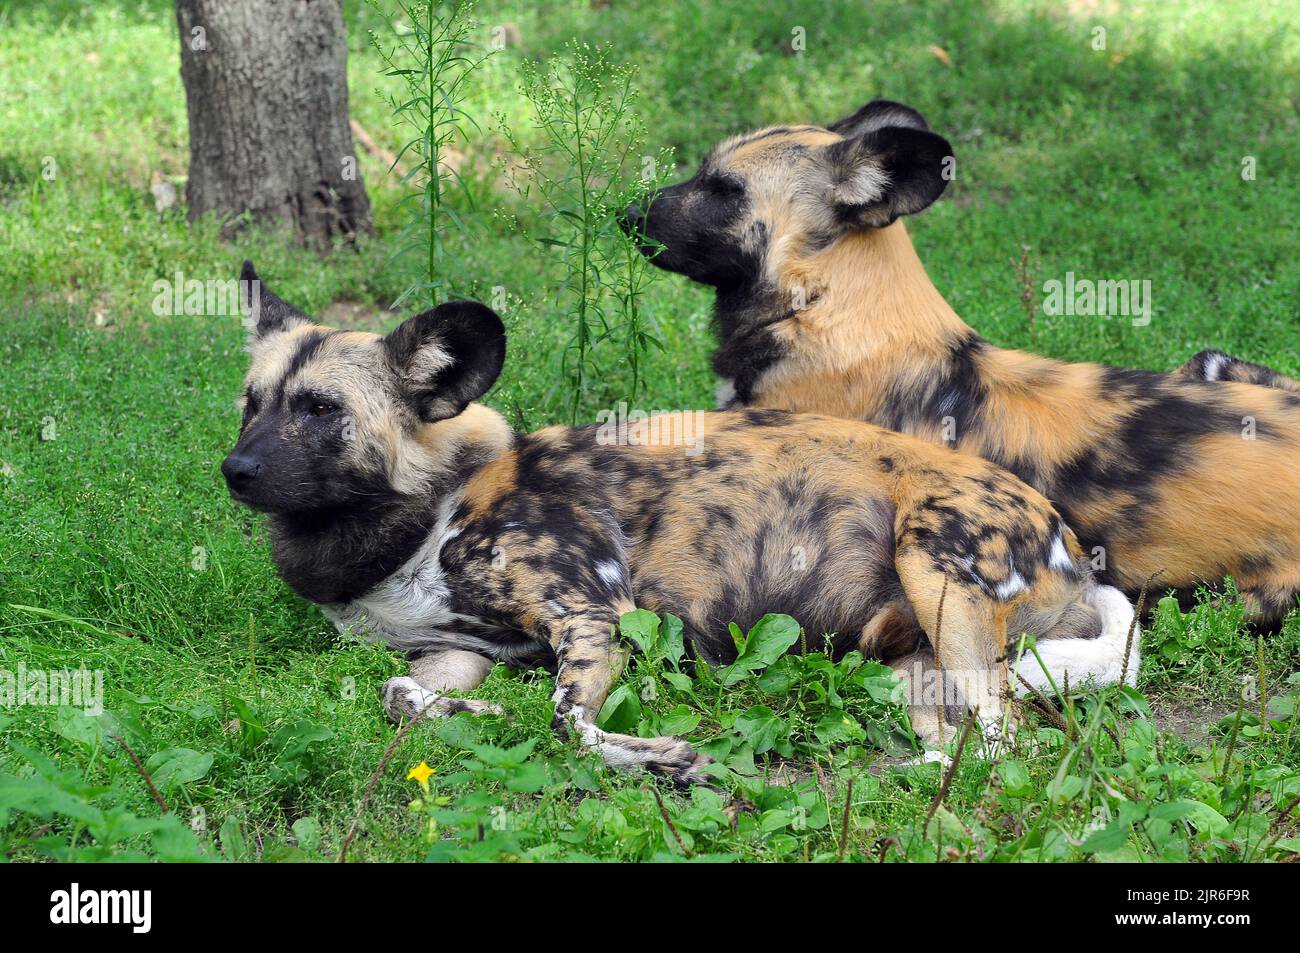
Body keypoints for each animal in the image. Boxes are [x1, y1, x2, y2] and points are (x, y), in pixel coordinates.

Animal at [228, 262, 1144, 780]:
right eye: (250, 402)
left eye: (321, 410)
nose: (235, 470)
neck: (423, 517)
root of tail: (1071, 547)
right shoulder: (457, 649)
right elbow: (399, 694)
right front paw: (475, 718)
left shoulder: (592, 614)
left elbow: (567, 726)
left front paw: (669, 758)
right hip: (909, 664)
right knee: (963, 741)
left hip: (935, 567)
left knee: (1008, 743)